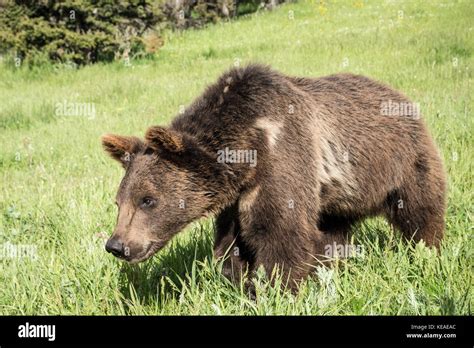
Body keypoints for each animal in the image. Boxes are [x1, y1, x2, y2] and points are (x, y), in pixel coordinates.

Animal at [102, 64, 446, 290]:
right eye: (118, 202)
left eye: (148, 200)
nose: (117, 245)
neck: (247, 148)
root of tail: (397, 92)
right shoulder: (238, 194)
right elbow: (232, 242)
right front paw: (240, 282)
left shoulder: (282, 158)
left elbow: (279, 232)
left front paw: (279, 287)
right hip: (338, 194)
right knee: (334, 230)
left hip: (401, 161)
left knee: (419, 209)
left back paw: (427, 251)